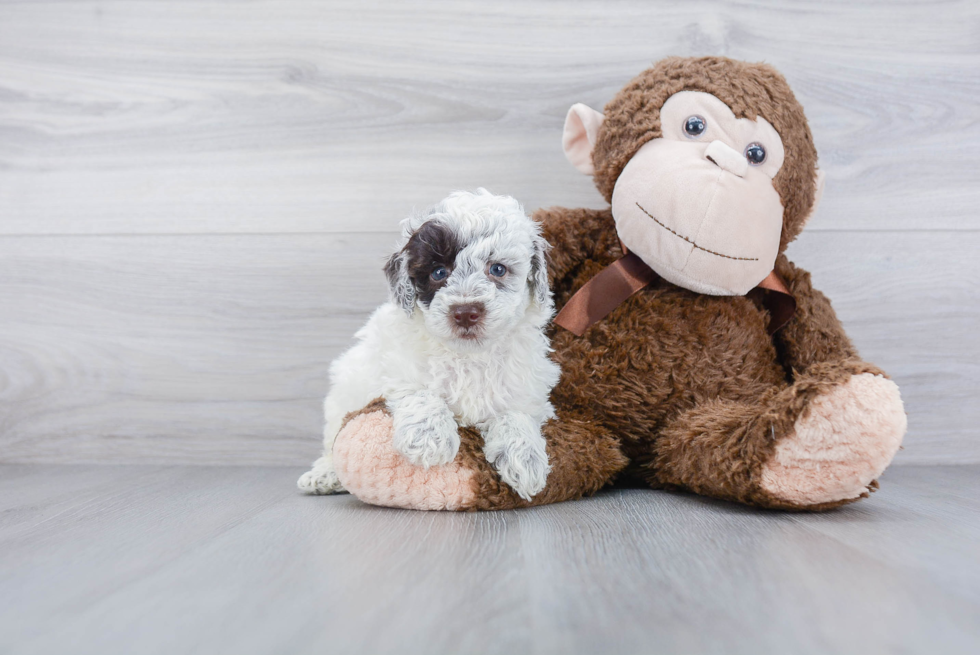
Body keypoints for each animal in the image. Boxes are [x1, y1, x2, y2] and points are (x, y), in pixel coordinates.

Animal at [296, 190, 560, 502]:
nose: (465, 312)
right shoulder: (397, 365)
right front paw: (429, 437)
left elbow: (517, 414)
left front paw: (525, 458)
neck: (469, 356)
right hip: (344, 393)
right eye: (438, 273)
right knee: (332, 441)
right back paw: (324, 475)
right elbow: (421, 392)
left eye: (498, 269)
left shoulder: (526, 389)